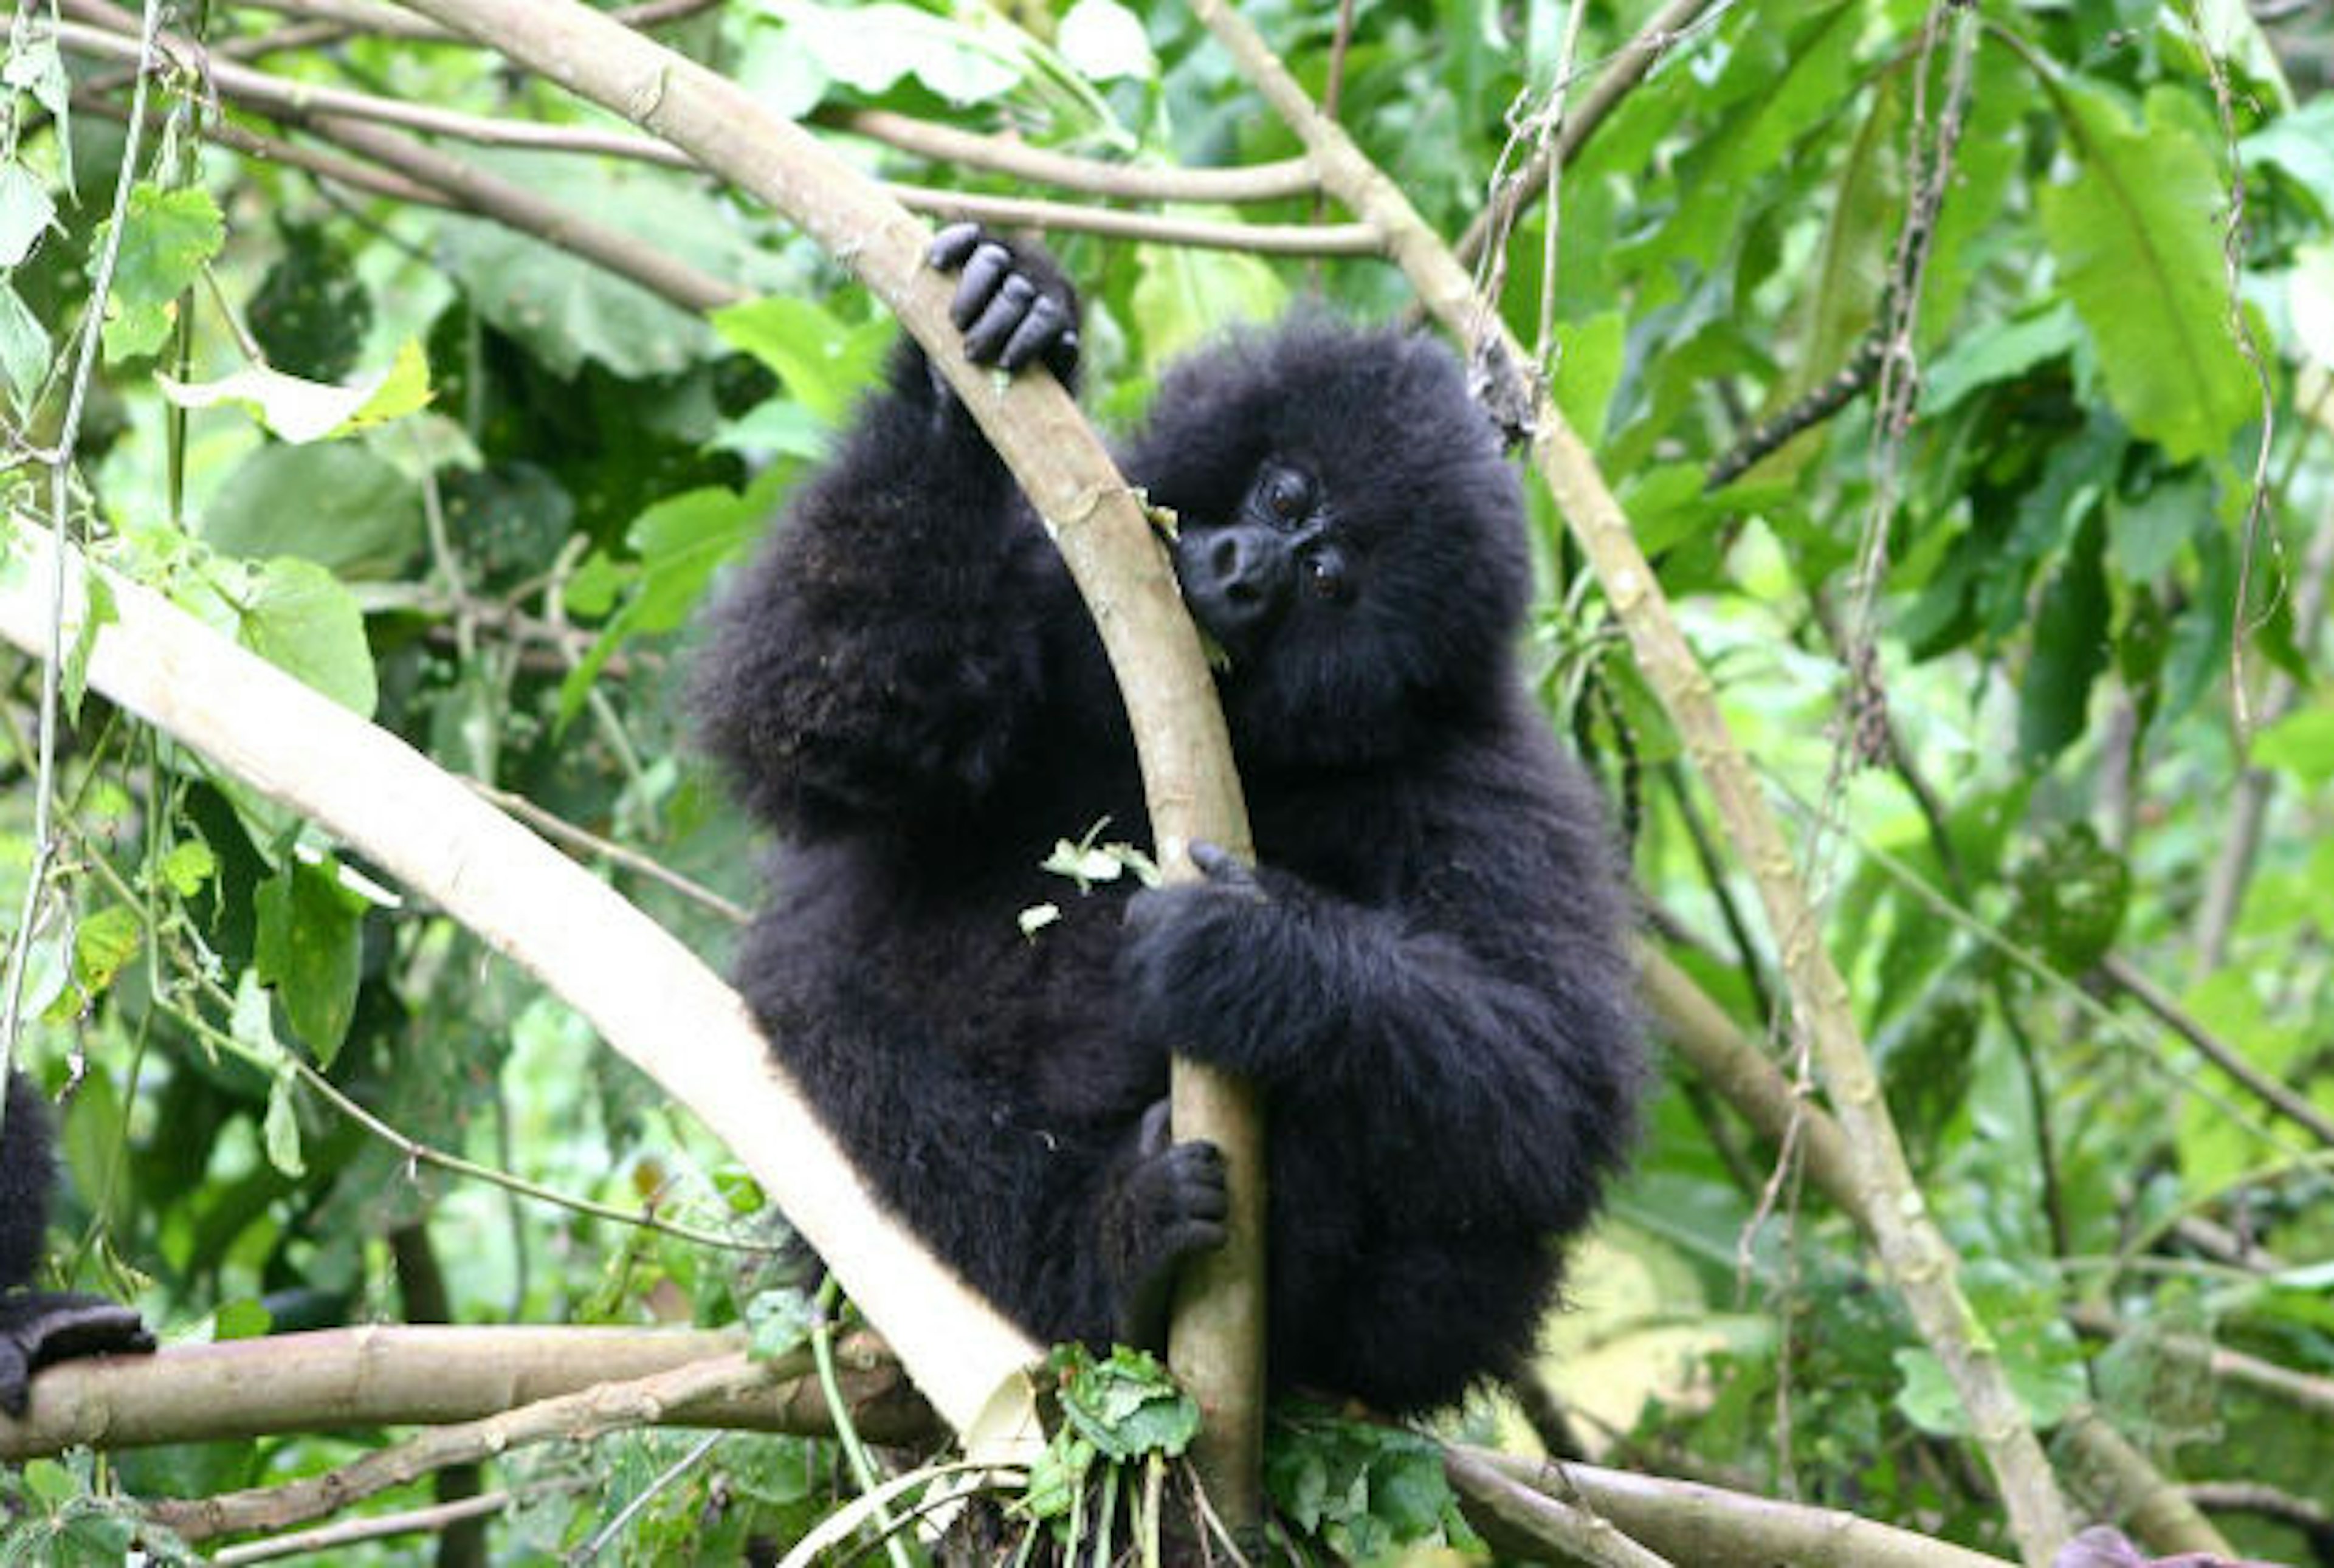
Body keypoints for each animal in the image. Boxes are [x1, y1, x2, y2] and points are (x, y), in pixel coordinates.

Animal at [695, 220, 1643, 1409]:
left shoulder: (1485, 776)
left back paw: (1129, 1259)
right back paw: (1112, 1254)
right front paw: (983, 352)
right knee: (834, 1031)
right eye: (1285, 497)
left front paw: (1260, 957)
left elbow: (1553, 1082)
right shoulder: (1053, 587)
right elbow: (823, 706)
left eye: (1327, 578)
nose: (1243, 569)